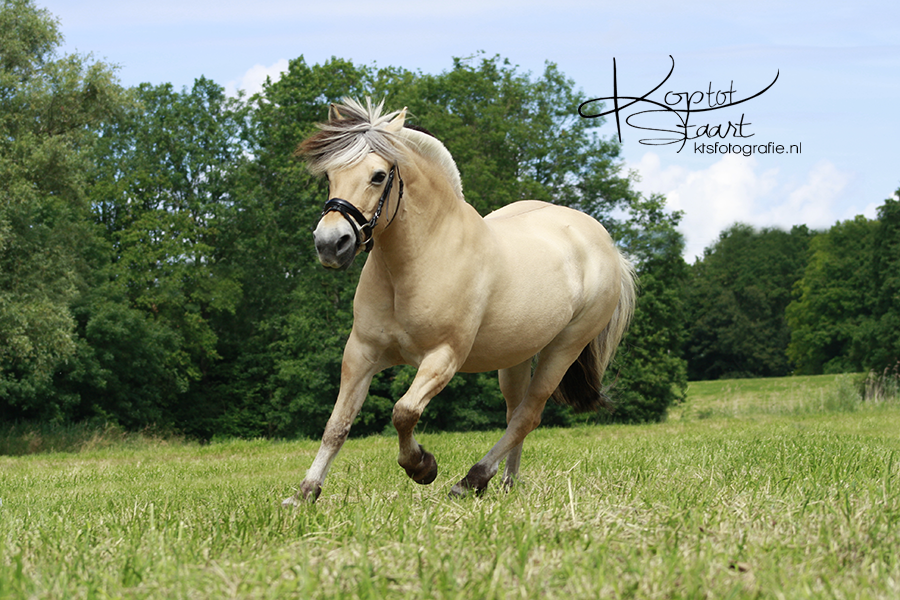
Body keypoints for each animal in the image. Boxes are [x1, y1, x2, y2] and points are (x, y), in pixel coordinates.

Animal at [283, 98, 636, 504]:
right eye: (330, 175)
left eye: (378, 176)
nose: (330, 244)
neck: (420, 260)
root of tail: (606, 245)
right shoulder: (361, 353)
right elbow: (337, 424)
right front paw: (305, 493)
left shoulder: (443, 357)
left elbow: (404, 412)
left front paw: (422, 467)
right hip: (516, 357)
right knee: (515, 414)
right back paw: (506, 482)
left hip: (564, 349)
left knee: (528, 415)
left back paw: (471, 480)